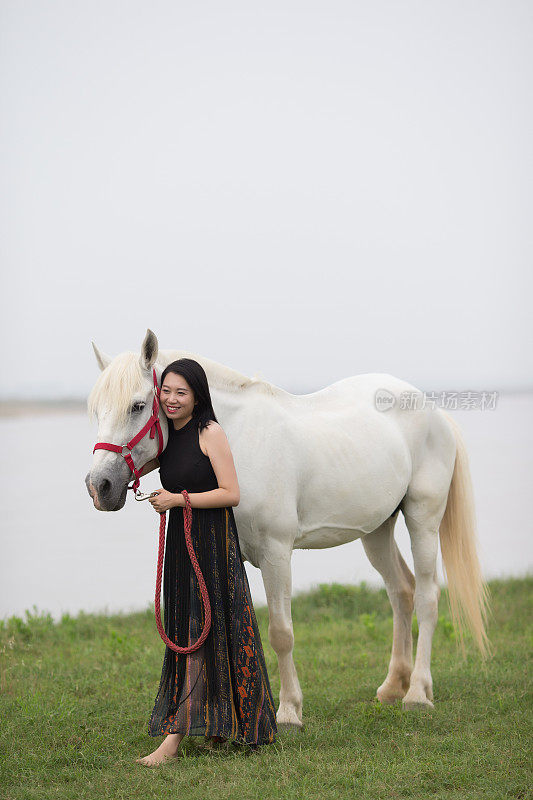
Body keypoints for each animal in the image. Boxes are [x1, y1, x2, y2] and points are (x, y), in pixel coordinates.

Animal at [87, 328, 490, 728]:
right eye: (97, 410)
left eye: (138, 405)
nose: (99, 486)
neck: (235, 442)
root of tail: (434, 410)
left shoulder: (276, 553)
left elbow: (281, 633)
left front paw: (289, 712)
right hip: (376, 530)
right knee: (401, 592)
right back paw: (393, 686)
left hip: (423, 521)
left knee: (426, 597)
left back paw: (418, 693)